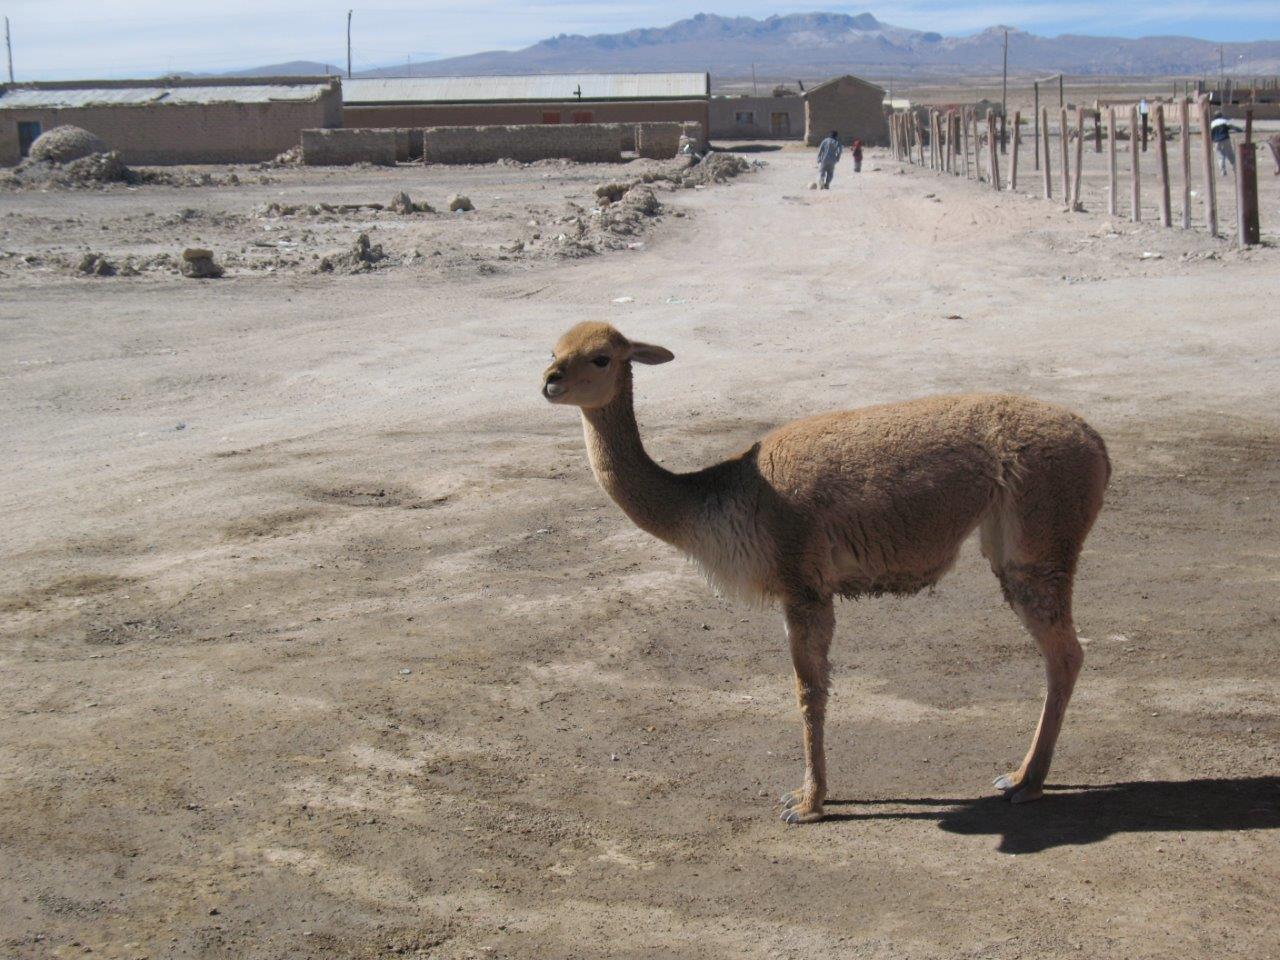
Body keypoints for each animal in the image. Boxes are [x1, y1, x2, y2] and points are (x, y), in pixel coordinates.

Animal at [542, 322, 1110, 824]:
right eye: (553, 348)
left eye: (601, 358)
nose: (549, 381)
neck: (724, 496)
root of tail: (1096, 440)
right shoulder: (800, 591)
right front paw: (810, 795)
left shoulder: (804, 584)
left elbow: (808, 693)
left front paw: (809, 803)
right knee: (1062, 655)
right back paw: (1023, 776)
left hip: (1039, 544)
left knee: (1066, 655)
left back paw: (1027, 781)